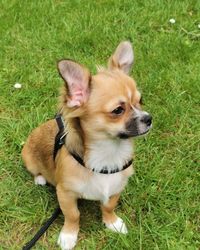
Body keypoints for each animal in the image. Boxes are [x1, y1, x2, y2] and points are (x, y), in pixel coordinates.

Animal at [21, 41, 152, 250]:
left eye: (140, 101)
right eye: (118, 110)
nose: (149, 119)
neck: (109, 152)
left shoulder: (116, 186)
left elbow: (108, 206)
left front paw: (112, 223)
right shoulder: (65, 194)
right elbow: (73, 215)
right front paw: (68, 235)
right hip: (29, 159)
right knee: (35, 171)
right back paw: (40, 178)